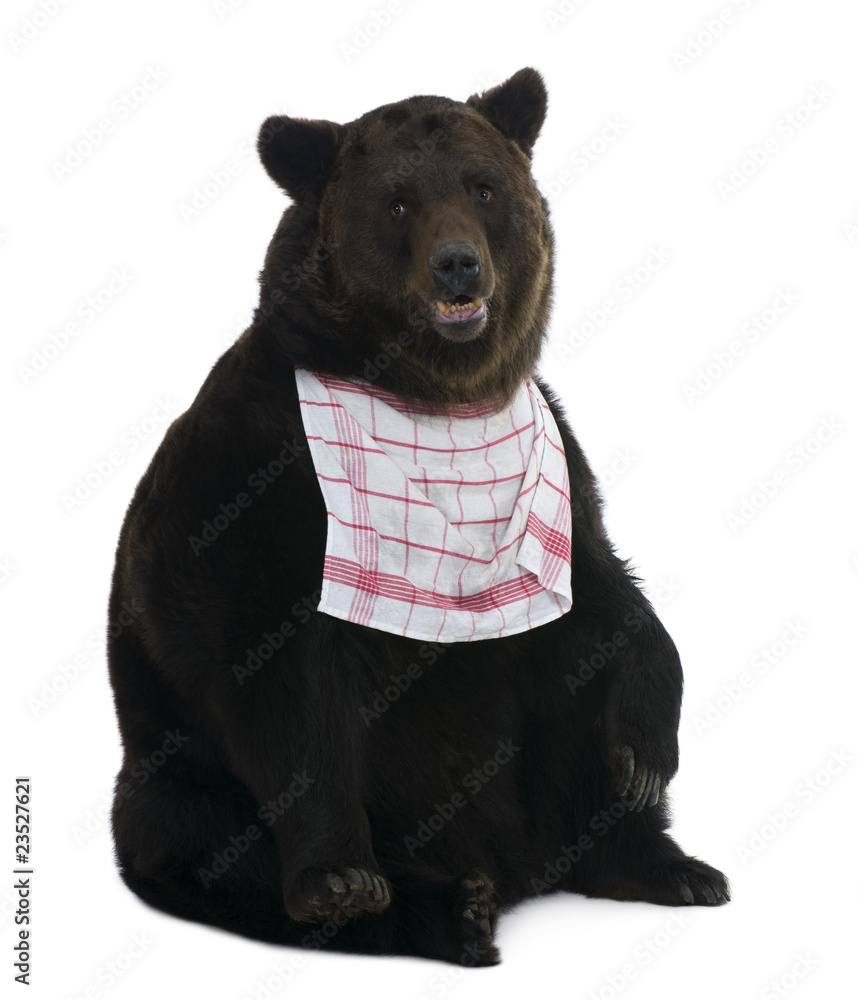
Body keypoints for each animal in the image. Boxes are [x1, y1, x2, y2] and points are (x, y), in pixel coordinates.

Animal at [107, 67, 729, 968]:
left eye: (483, 187)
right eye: (397, 203)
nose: (457, 265)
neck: (438, 396)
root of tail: (520, 865)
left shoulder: (550, 459)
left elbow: (607, 593)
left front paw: (648, 753)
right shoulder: (261, 471)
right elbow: (273, 670)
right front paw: (339, 875)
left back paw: (668, 866)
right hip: (172, 760)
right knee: (202, 835)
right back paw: (446, 907)